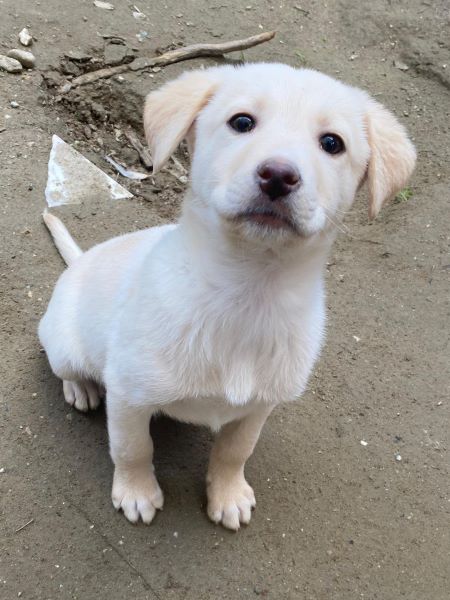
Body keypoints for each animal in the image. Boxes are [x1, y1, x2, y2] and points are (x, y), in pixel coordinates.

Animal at [39, 63, 416, 530]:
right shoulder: (128, 395)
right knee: (66, 368)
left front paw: (228, 495)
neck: (246, 291)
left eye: (332, 143)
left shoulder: (259, 407)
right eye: (242, 122)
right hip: (64, 345)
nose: (278, 175)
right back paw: (81, 388)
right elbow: (133, 448)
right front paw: (136, 492)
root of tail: (77, 264)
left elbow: (235, 452)